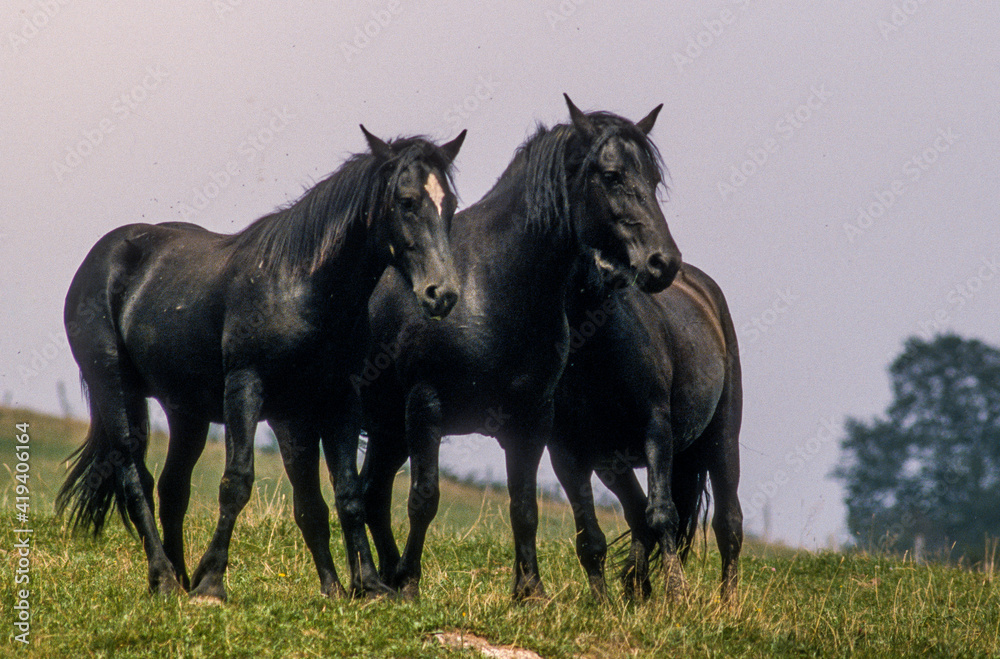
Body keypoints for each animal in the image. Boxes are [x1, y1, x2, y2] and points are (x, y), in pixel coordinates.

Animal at [56, 126, 466, 602]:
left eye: (449, 205)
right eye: (406, 201)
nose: (442, 294)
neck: (302, 287)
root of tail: (100, 258)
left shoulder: (334, 403)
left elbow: (342, 495)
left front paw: (365, 586)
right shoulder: (246, 388)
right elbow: (237, 482)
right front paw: (213, 583)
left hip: (186, 411)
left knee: (172, 488)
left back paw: (179, 577)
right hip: (115, 388)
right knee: (133, 476)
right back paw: (164, 577)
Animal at [356, 95, 682, 600]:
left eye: (654, 178)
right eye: (611, 175)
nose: (662, 263)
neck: (490, 286)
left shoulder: (530, 420)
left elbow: (524, 506)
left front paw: (530, 592)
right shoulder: (425, 406)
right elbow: (424, 499)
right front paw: (411, 585)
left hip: (387, 428)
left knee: (372, 492)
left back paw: (384, 577)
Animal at [548, 257, 743, 604]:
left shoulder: (656, 433)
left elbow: (663, 514)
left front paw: (678, 595)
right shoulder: (567, 454)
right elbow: (590, 538)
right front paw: (603, 604)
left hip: (723, 439)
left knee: (728, 522)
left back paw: (728, 603)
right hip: (612, 463)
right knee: (638, 514)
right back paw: (635, 588)